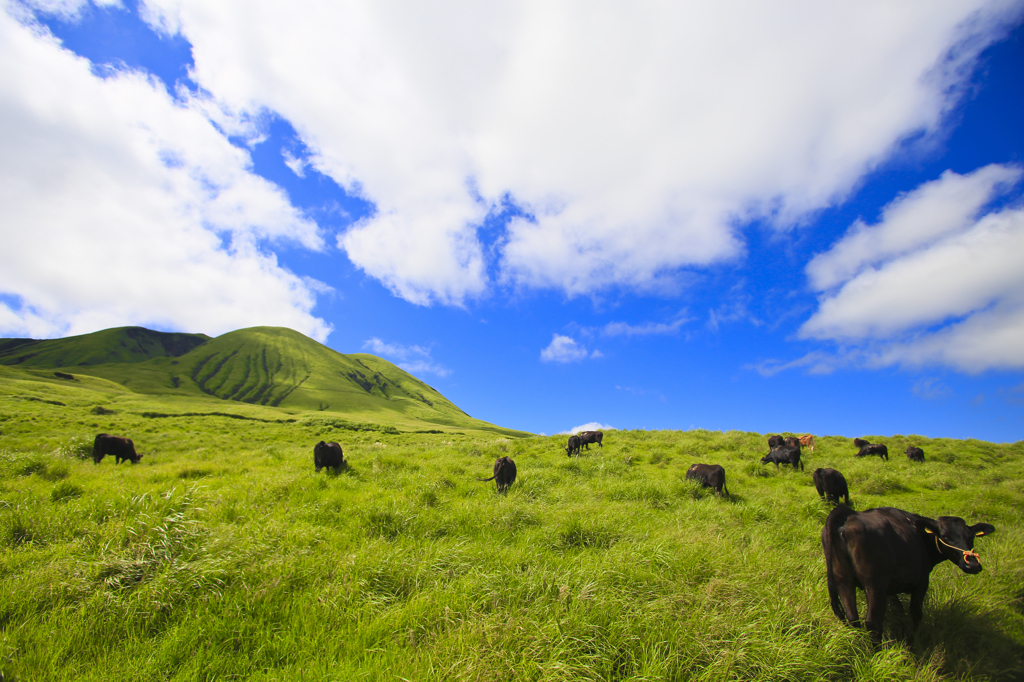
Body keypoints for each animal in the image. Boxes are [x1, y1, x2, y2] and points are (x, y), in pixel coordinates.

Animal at [819, 501, 995, 638]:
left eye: (971, 536)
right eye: (945, 536)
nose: (972, 564)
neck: (922, 537)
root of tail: (848, 516)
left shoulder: (891, 588)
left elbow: (899, 610)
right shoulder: (922, 583)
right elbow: (916, 614)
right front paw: (913, 641)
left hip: (844, 581)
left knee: (853, 618)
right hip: (874, 585)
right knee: (873, 623)